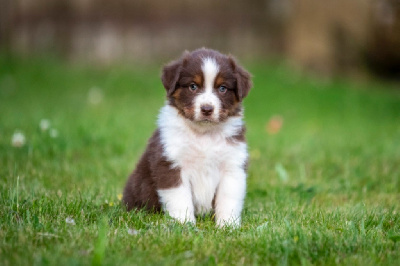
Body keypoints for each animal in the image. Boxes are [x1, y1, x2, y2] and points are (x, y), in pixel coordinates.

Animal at [123, 47, 252, 227]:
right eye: (193, 86)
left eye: (222, 88)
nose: (207, 109)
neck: (203, 134)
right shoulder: (170, 164)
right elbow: (180, 198)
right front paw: (184, 225)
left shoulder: (232, 166)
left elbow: (229, 199)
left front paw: (228, 226)